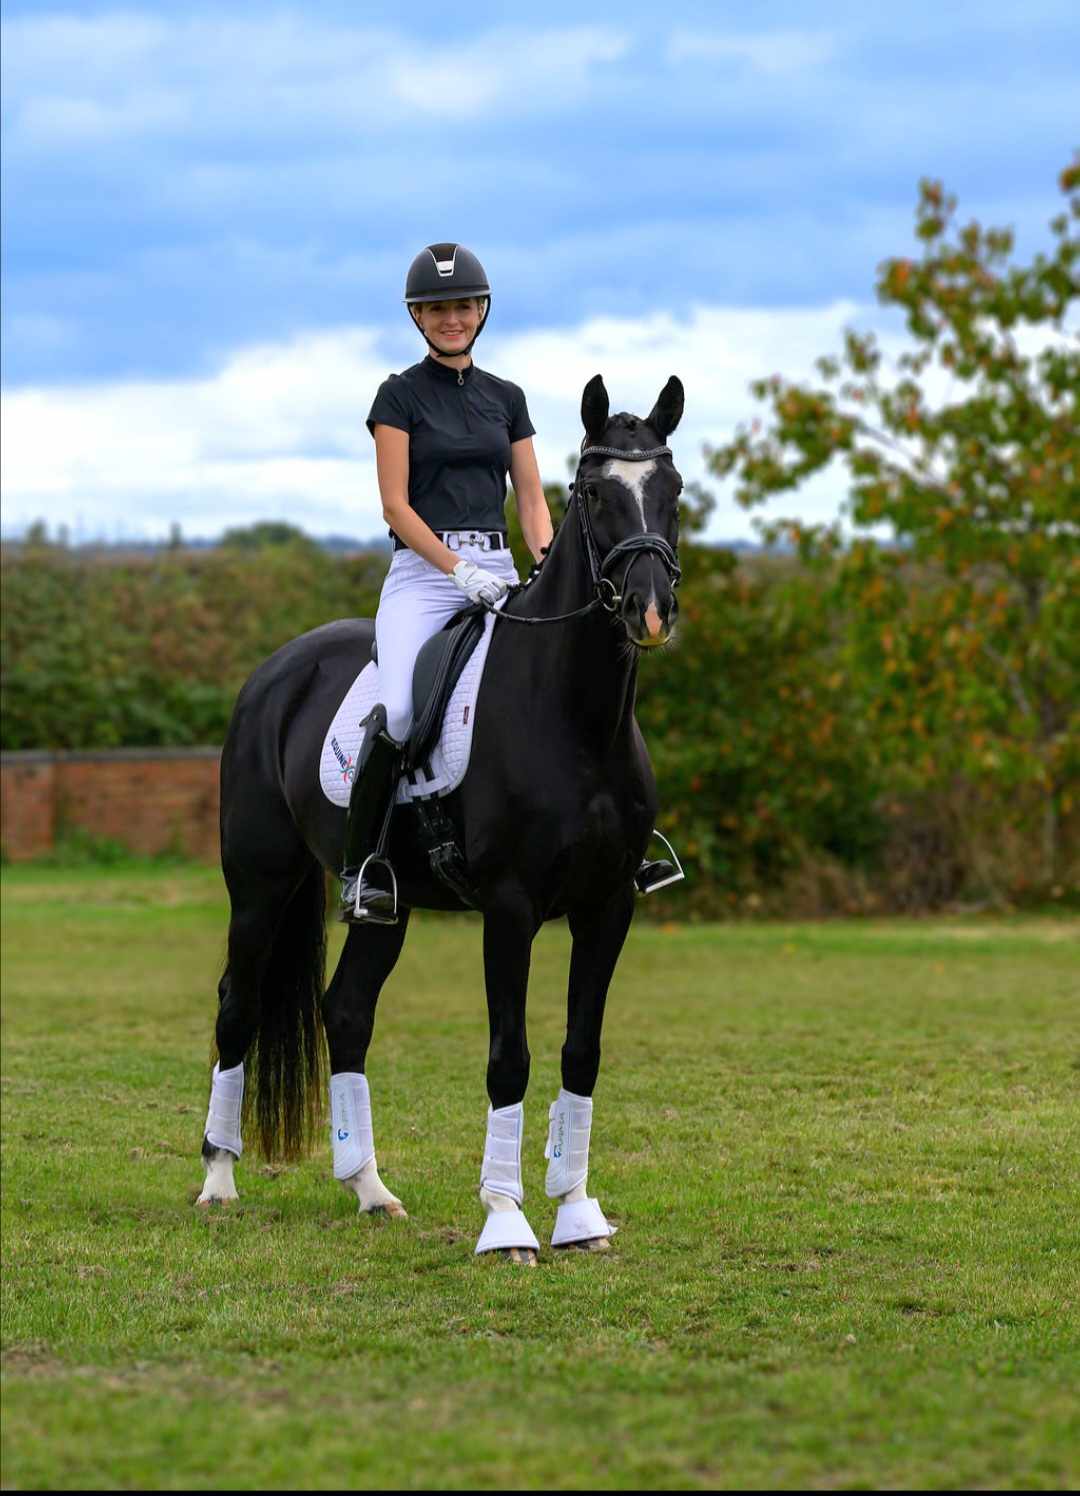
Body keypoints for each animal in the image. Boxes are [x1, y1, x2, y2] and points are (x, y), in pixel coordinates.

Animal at [195, 374, 682, 1262]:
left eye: (674, 491)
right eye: (595, 493)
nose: (649, 610)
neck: (574, 717)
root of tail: (274, 673)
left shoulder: (608, 907)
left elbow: (581, 1052)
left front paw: (578, 1215)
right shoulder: (511, 909)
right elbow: (509, 1057)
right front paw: (507, 1223)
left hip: (384, 903)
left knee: (346, 1013)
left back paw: (370, 1190)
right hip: (260, 885)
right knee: (237, 1004)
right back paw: (218, 1180)